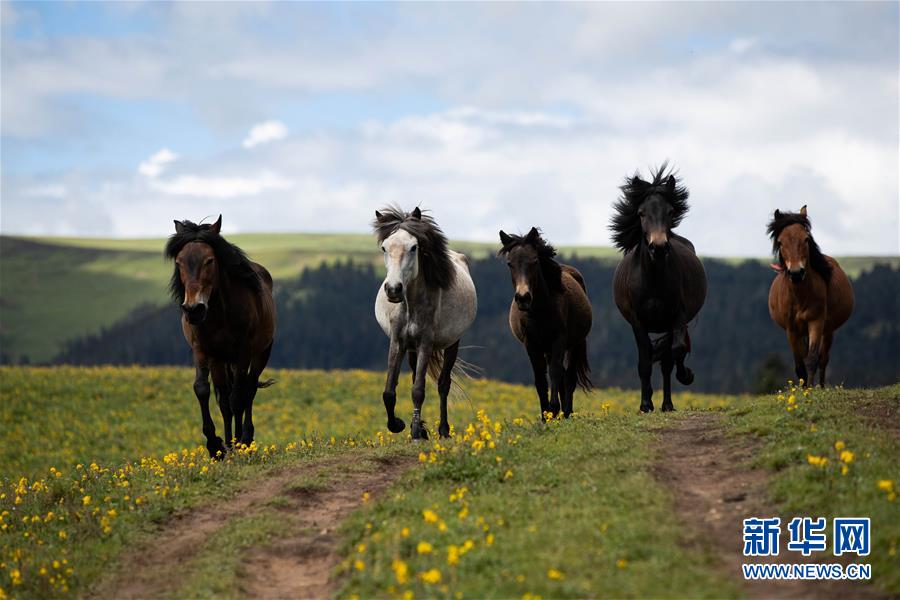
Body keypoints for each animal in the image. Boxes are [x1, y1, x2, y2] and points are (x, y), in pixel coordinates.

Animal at [165, 216, 276, 454]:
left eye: (209, 261)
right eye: (179, 262)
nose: (193, 309)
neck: (220, 315)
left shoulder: (243, 353)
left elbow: (238, 398)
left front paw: (239, 444)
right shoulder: (204, 351)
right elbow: (203, 390)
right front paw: (216, 445)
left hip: (260, 353)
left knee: (248, 390)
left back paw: (245, 438)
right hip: (222, 361)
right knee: (225, 400)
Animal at [372, 207, 478, 440]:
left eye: (413, 247)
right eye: (384, 247)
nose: (393, 289)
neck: (411, 305)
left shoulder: (426, 344)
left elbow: (418, 390)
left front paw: (415, 433)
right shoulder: (398, 342)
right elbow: (389, 392)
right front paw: (399, 425)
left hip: (451, 344)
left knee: (443, 384)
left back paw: (443, 430)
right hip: (411, 349)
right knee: (414, 376)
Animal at [500, 227, 592, 420]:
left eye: (534, 261)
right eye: (510, 263)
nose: (523, 298)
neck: (540, 311)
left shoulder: (559, 340)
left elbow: (555, 373)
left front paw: (554, 409)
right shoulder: (531, 344)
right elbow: (540, 379)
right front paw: (546, 415)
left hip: (575, 344)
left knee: (569, 378)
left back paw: (567, 413)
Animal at [608, 164, 708, 412]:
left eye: (670, 212)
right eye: (641, 213)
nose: (659, 247)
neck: (653, 279)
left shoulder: (677, 316)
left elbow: (676, 352)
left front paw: (686, 376)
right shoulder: (638, 322)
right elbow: (645, 361)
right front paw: (645, 404)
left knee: (667, 361)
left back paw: (668, 404)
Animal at [768, 205, 856, 384]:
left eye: (806, 239)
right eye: (780, 242)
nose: (796, 273)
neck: (800, 296)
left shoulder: (816, 322)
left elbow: (811, 359)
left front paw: (810, 388)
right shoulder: (791, 330)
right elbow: (799, 364)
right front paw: (803, 387)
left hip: (828, 330)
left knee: (823, 359)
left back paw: (821, 386)